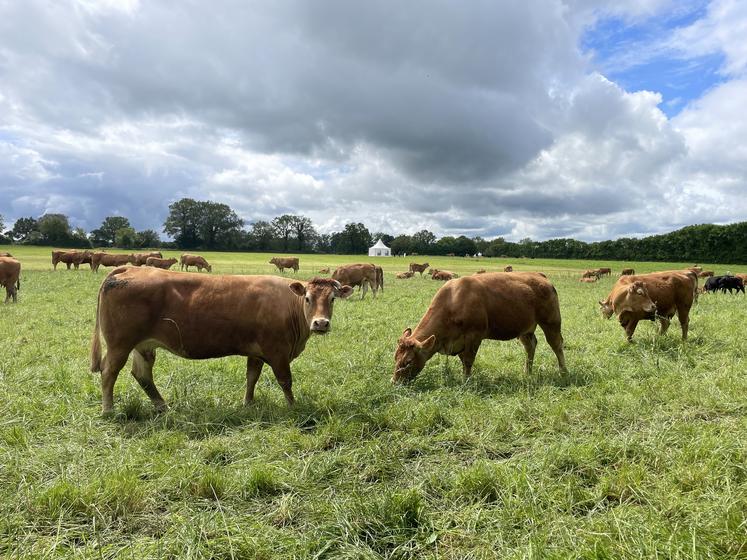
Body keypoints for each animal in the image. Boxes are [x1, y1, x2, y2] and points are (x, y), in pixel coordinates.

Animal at [90, 270, 354, 414]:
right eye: (308, 298)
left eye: (332, 299)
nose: (321, 323)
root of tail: (128, 269)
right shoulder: (277, 351)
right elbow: (285, 381)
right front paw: (293, 407)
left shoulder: (256, 352)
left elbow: (251, 378)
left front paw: (247, 403)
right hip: (119, 345)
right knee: (109, 372)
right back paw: (109, 409)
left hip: (143, 345)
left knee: (142, 375)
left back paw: (162, 406)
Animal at [392, 272, 568, 384]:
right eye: (395, 357)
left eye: (408, 361)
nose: (394, 382)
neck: (453, 301)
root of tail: (540, 276)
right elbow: (463, 361)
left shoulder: (474, 336)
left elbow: (468, 360)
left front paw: (466, 381)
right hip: (525, 329)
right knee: (530, 346)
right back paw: (527, 372)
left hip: (551, 322)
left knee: (557, 345)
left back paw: (563, 372)